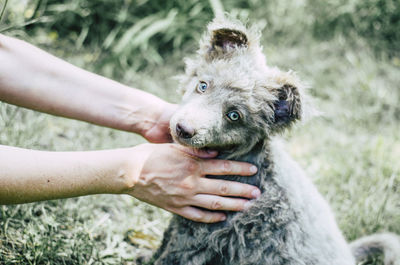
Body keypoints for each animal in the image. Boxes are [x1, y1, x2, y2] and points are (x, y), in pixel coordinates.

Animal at [150, 17, 400, 262]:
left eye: (234, 115)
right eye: (202, 86)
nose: (184, 129)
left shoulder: (200, 230)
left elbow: (169, 254)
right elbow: (163, 244)